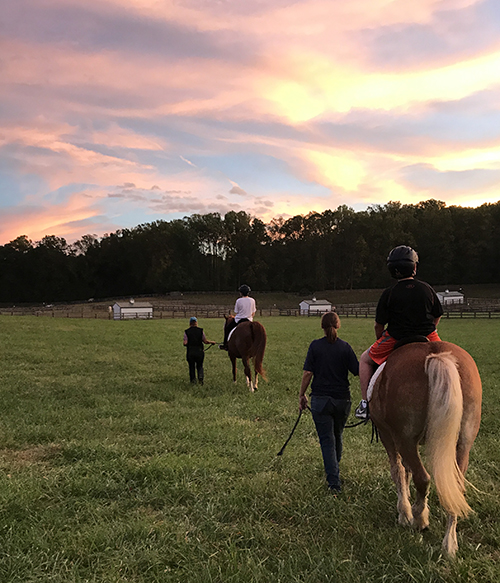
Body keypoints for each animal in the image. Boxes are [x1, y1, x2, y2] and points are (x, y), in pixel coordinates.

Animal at [372, 342, 480, 556]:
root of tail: (437, 352)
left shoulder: (388, 435)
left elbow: (398, 471)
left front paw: (404, 513)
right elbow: (405, 472)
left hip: (404, 440)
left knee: (422, 478)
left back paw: (419, 519)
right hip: (463, 443)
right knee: (456, 488)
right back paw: (449, 544)